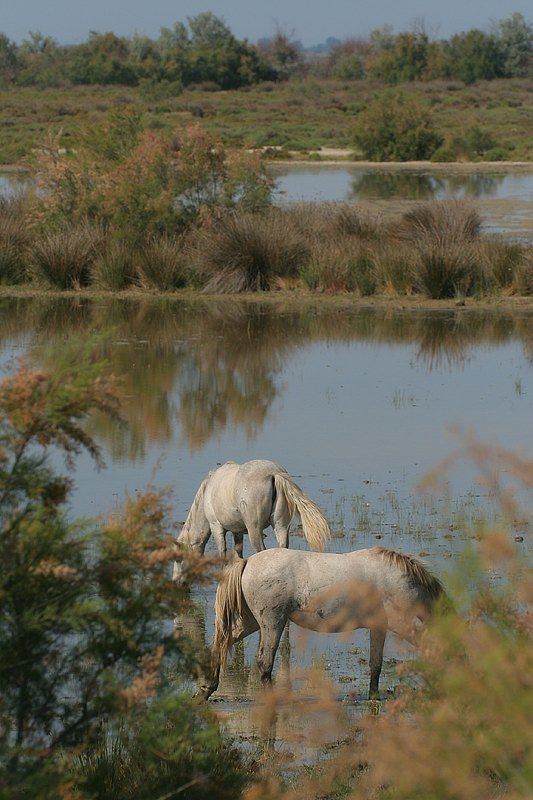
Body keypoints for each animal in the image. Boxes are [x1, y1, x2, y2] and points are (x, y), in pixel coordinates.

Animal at [171, 460, 328, 584]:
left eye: (179, 560)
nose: (176, 583)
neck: (207, 495)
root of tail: (274, 473)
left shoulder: (216, 527)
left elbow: (222, 554)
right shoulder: (238, 531)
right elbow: (238, 553)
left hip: (254, 530)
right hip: (281, 526)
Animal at [200, 548, 444, 696]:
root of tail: (248, 561)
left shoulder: (379, 626)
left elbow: (376, 665)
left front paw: (373, 696)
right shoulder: (399, 623)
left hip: (251, 622)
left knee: (222, 644)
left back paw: (205, 690)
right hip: (272, 622)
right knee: (264, 663)